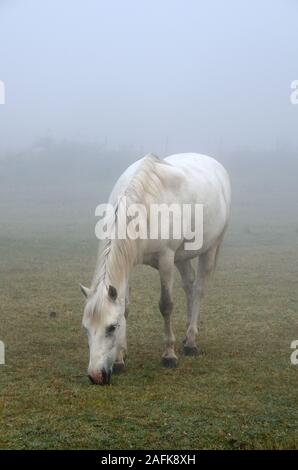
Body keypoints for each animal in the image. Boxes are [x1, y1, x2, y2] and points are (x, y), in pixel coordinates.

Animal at [80, 154, 232, 386]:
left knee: (198, 290)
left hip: (210, 248)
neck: (145, 206)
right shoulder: (130, 263)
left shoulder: (166, 259)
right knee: (189, 286)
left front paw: (169, 355)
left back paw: (191, 342)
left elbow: (166, 305)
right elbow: (125, 307)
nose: (96, 376)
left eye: (111, 327)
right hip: (182, 256)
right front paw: (120, 358)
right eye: (86, 328)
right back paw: (186, 335)